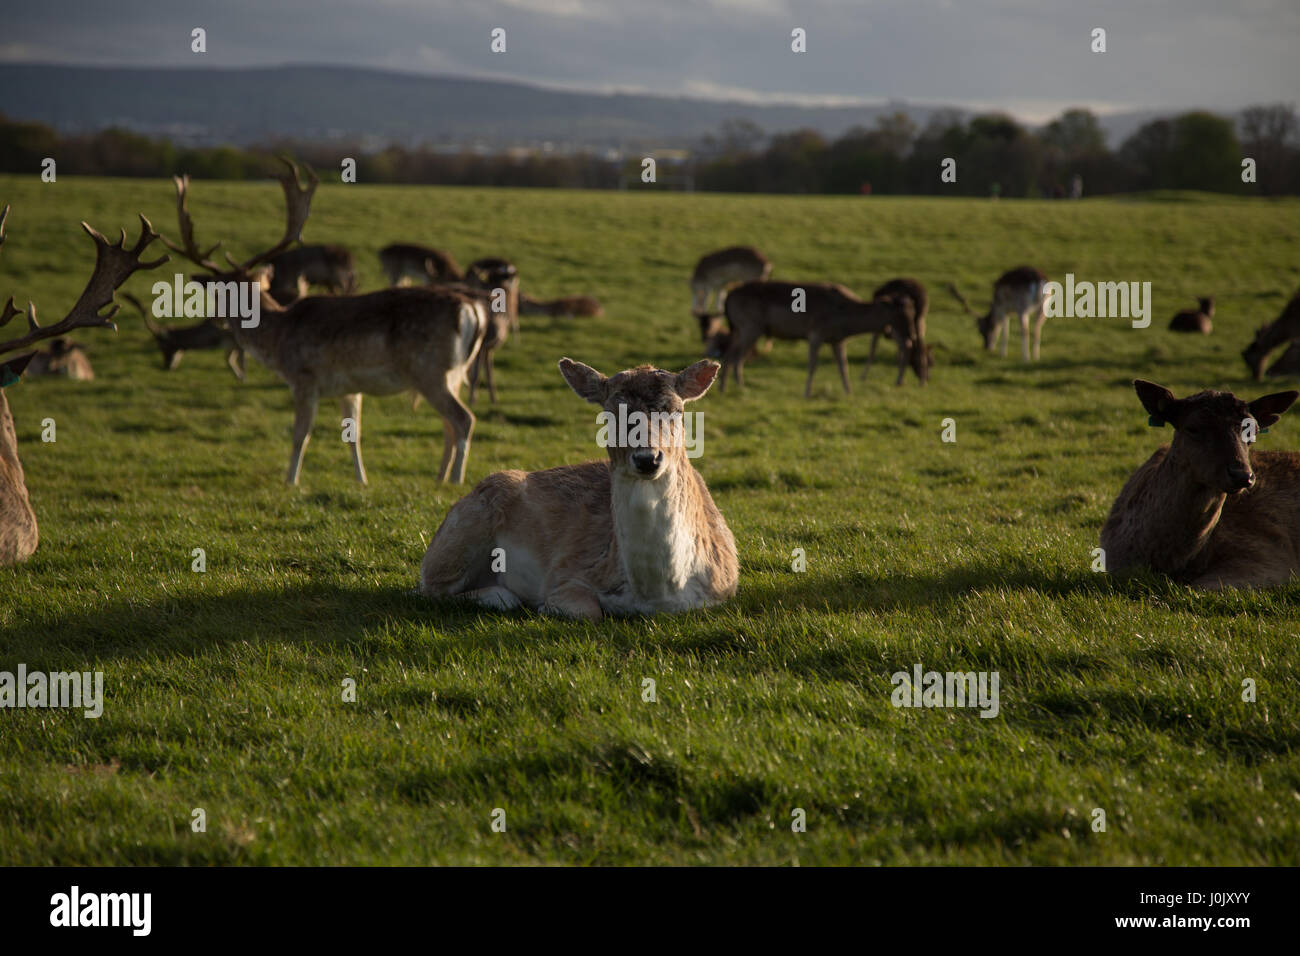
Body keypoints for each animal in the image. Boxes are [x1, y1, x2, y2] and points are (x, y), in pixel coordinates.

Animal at [161, 158, 487, 485]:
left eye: (219, 293)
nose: (217, 320)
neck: (277, 339)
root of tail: (473, 310)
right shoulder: (350, 387)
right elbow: (354, 435)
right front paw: (362, 481)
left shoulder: (304, 377)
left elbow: (300, 434)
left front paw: (290, 482)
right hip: (453, 372)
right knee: (449, 424)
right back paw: (440, 477)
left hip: (428, 370)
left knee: (464, 419)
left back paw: (456, 479)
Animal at [419, 357, 738, 618]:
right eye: (609, 414)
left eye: (676, 410)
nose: (647, 458)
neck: (657, 596)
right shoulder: (567, 572)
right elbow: (589, 611)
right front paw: (544, 607)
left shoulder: (726, 588)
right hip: (457, 538)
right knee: (429, 588)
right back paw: (501, 595)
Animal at [716, 279, 923, 396]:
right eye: (900, 314)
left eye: (913, 313)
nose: (912, 335)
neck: (845, 318)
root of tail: (728, 297)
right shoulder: (816, 333)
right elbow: (813, 365)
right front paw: (807, 393)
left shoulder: (837, 340)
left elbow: (843, 366)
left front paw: (849, 392)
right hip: (751, 326)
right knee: (737, 357)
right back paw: (740, 387)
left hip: (740, 328)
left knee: (728, 354)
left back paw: (724, 386)